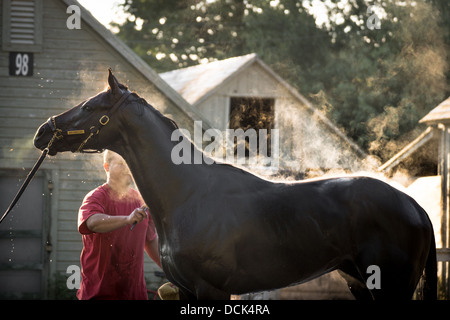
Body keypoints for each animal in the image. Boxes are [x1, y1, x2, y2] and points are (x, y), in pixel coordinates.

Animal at [34, 70, 436, 300]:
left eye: (90, 107)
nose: (43, 132)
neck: (187, 194)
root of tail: (415, 207)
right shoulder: (186, 291)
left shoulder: (211, 290)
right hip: (360, 285)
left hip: (391, 288)